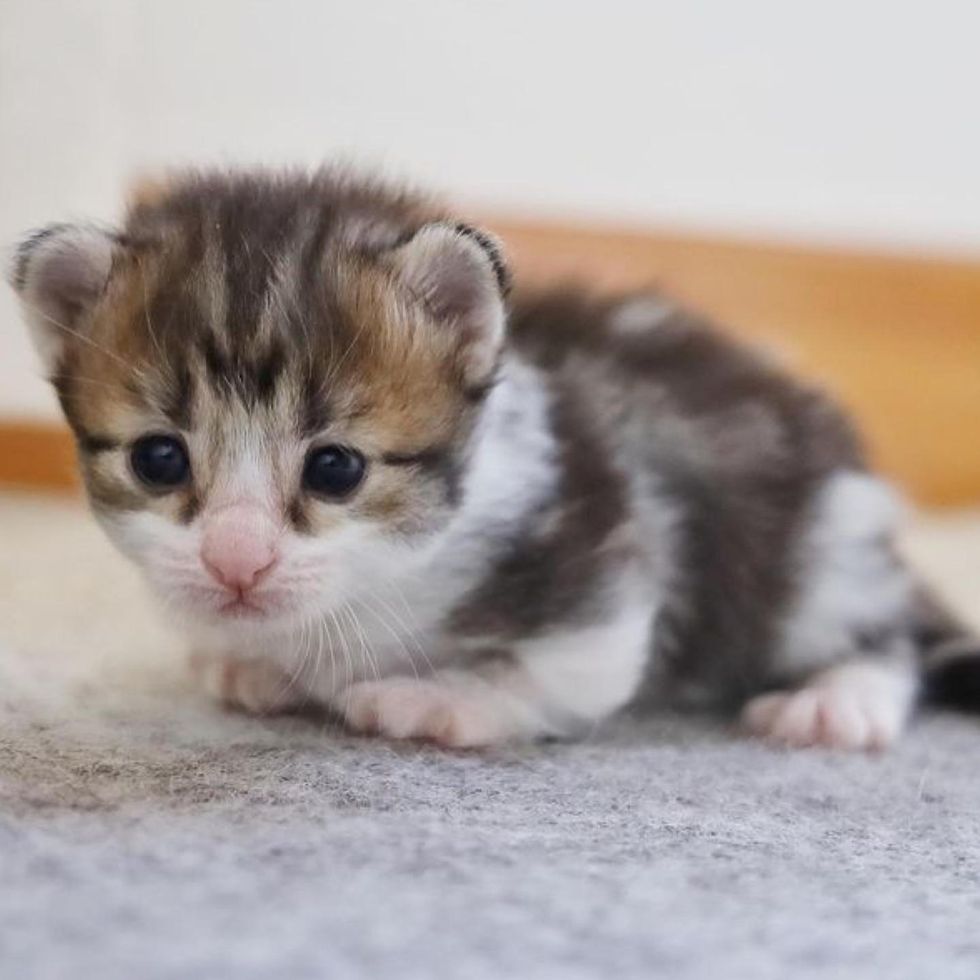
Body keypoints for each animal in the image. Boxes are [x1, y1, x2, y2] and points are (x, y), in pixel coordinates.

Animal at [9, 168, 980, 752]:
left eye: (335, 469)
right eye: (159, 459)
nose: (234, 562)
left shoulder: (605, 560)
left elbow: (567, 671)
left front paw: (440, 699)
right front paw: (252, 664)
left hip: (816, 555)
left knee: (889, 630)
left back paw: (839, 698)